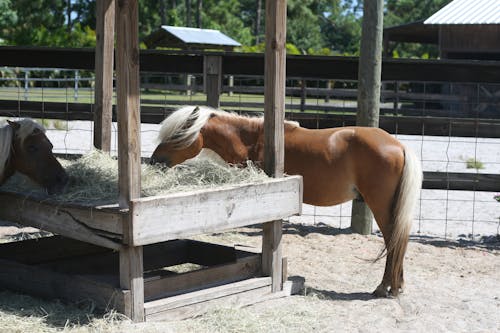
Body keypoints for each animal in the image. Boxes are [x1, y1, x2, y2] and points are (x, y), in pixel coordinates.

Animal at [149, 106, 422, 296]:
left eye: (178, 134)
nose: (154, 160)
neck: (252, 140)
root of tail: (398, 145)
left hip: (381, 206)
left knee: (394, 240)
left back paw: (385, 288)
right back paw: (395, 286)